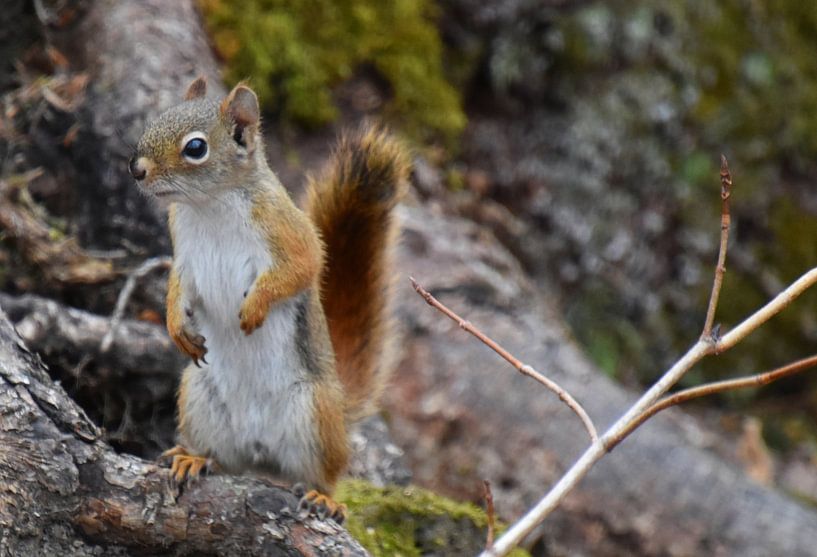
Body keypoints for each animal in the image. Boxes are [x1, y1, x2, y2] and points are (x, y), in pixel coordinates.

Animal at [128, 76, 409, 520]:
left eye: (196, 147)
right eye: (157, 119)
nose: (136, 170)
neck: (209, 205)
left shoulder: (287, 231)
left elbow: (303, 267)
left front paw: (254, 308)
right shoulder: (184, 256)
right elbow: (176, 288)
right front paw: (177, 328)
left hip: (314, 414)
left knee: (325, 474)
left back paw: (323, 497)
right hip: (199, 397)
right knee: (223, 458)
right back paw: (193, 457)